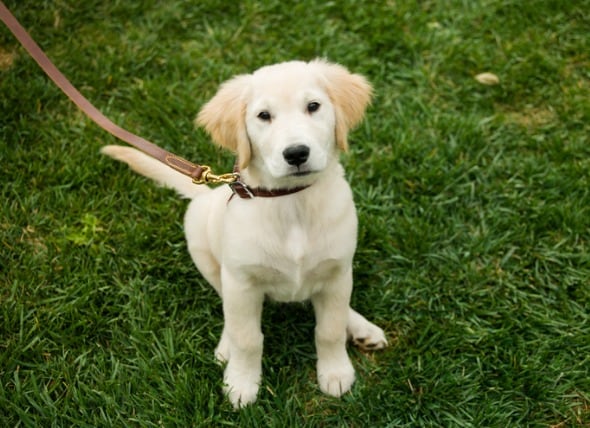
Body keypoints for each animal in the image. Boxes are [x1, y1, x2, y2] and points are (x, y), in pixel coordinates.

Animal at [101, 59, 387, 408]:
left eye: (313, 106)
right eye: (263, 115)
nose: (296, 154)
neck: (292, 203)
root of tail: (209, 191)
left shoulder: (337, 272)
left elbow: (329, 330)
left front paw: (335, 372)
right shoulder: (241, 281)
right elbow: (247, 337)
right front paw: (241, 382)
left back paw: (360, 326)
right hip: (202, 243)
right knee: (227, 307)